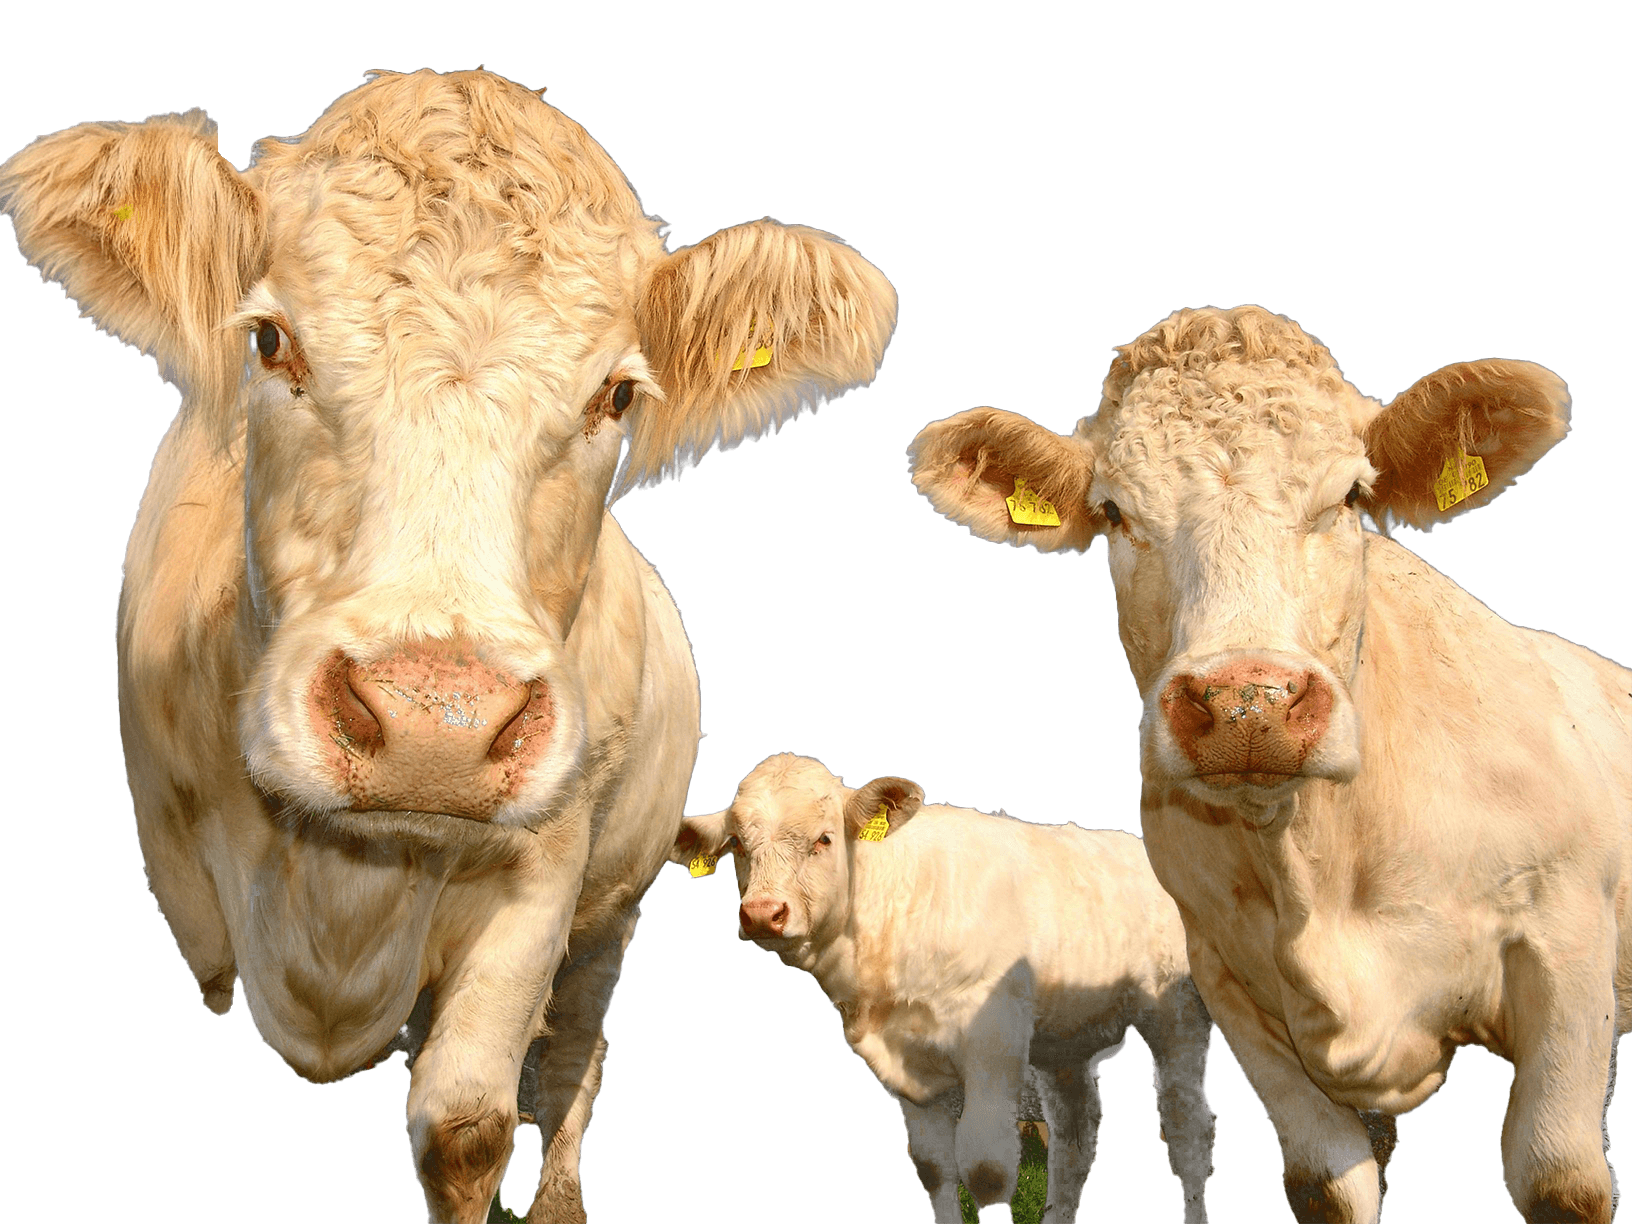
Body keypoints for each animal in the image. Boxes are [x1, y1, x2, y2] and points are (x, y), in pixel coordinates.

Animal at [0, 69, 895, 1224]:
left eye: (617, 394)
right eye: (270, 341)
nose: (437, 724)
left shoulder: (545, 880)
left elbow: (469, 1125)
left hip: (614, 912)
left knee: (572, 1061)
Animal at [672, 753, 1216, 1223]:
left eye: (824, 839)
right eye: (738, 844)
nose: (763, 913)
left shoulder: (992, 1043)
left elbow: (987, 1170)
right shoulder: (903, 1065)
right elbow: (935, 1170)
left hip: (1177, 1011)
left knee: (1188, 1131)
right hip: (1065, 1039)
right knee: (1075, 1140)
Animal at [909, 306, 1632, 1223]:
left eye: (1350, 495)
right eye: (1113, 511)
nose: (1247, 702)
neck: (1322, 859)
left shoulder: (1566, 948)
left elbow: (1558, 1175)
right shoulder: (1230, 983)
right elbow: (1327, 1181)